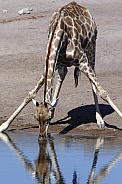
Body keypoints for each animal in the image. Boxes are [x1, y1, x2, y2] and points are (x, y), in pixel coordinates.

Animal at [0, 1, 122, 137]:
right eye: (36, 118)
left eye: (47, 119)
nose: (42, 136)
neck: (59, 32)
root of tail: (79, 5)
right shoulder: (51, 64)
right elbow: (30, 94)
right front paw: (4, 126)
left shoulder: (82, 61)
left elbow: (103, 93)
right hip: (63, 64)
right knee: (62, 76)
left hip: (91, 49)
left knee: (93, 82)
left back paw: (100, 120)